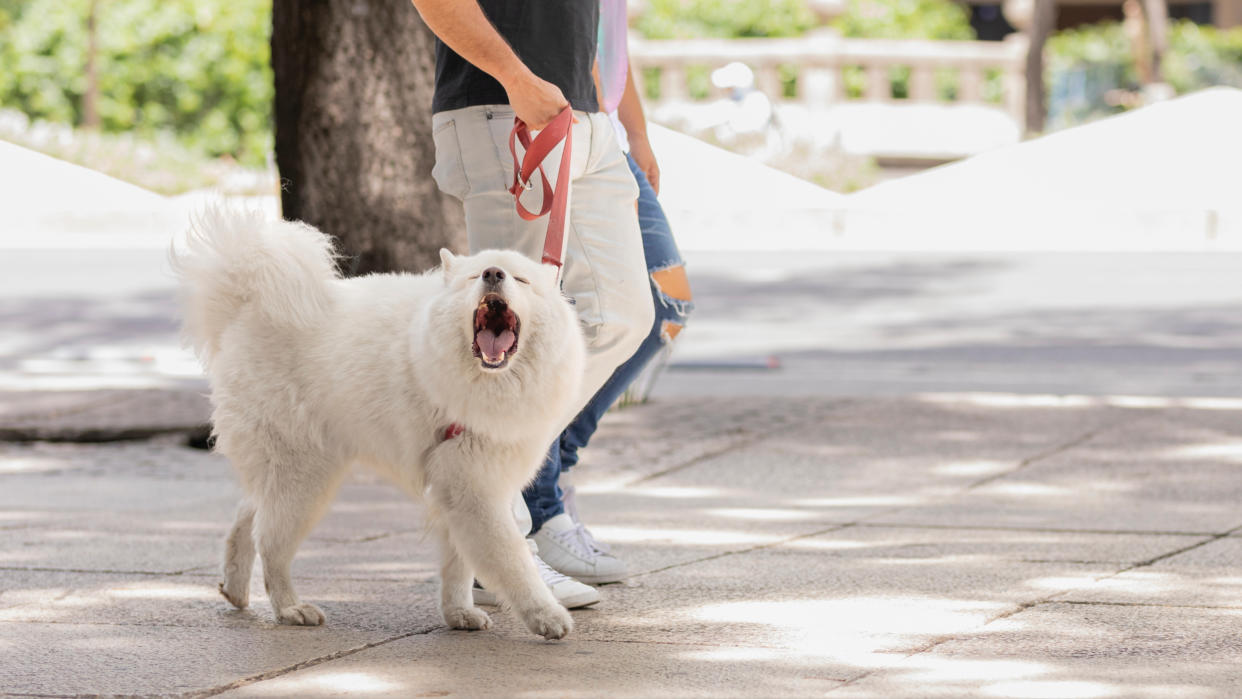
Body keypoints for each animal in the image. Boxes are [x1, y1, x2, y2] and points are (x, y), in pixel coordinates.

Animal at [168, 206, 586, 640]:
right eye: (475, 277)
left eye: (520, 279)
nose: (493, 273)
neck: (490, 381)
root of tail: (244, 310)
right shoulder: (474, 490)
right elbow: (512, 561)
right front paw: (547, 615)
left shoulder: (459, 488)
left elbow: (457, 564)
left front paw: (459, 613)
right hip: (304, 478)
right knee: (270, 542)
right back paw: (290, 608)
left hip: (292, 469)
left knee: (247, 516)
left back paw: (234, 588)